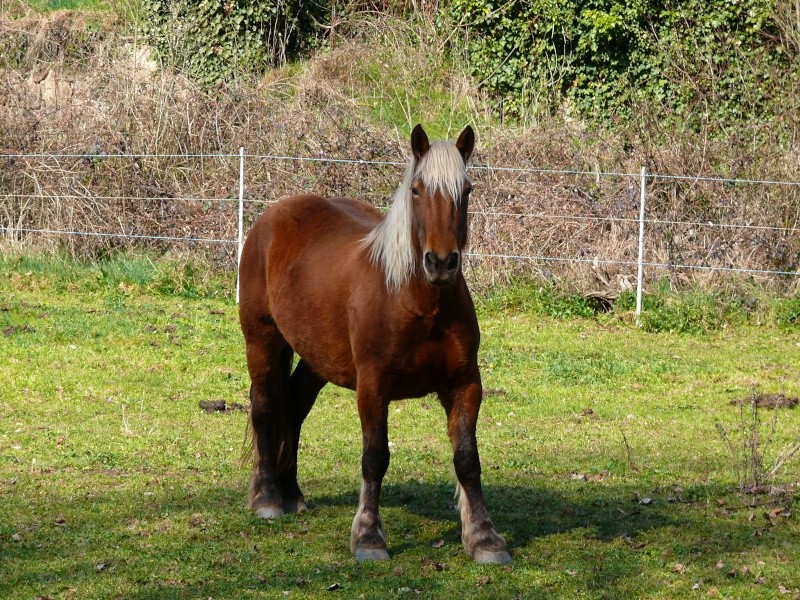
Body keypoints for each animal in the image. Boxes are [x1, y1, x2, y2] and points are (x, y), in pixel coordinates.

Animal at [239, 124, 512, 564]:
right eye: (417, 190)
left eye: (467, 190)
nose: (441, 262)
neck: (416, 301)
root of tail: (273, 216)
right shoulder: (372, 386)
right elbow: (375, 457)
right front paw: (368, 536)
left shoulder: (465, 384)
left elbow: (467, 459)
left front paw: (484, 537)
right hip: (262, 338)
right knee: (264, 406)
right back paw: (267, 498)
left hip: (317, 358)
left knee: (293, 407)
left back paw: (292, 493)